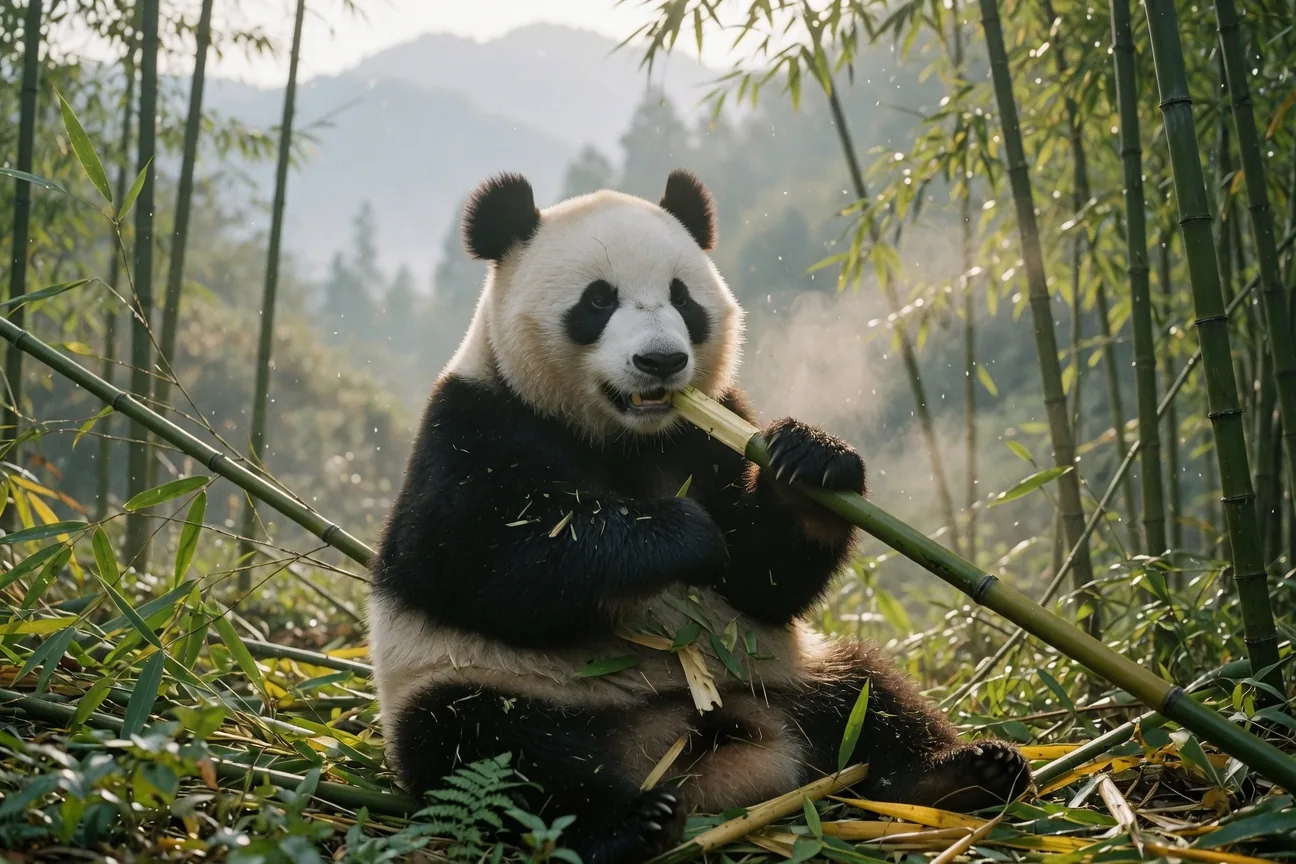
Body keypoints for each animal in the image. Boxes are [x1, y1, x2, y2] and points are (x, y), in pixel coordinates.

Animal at [367, 169, 1032, 863]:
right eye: (597, 301)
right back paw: (631, 823)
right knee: (492, 752)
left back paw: (964, 773)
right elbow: (484, 560)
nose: (661, 361)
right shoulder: (472, 424)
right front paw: (680, 535)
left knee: (868, 697)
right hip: (491, 684)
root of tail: (688, 751)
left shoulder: (714, 426)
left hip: (784, 673)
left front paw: (812, 462)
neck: (622, 435)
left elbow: (765, 581)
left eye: (682, 299)